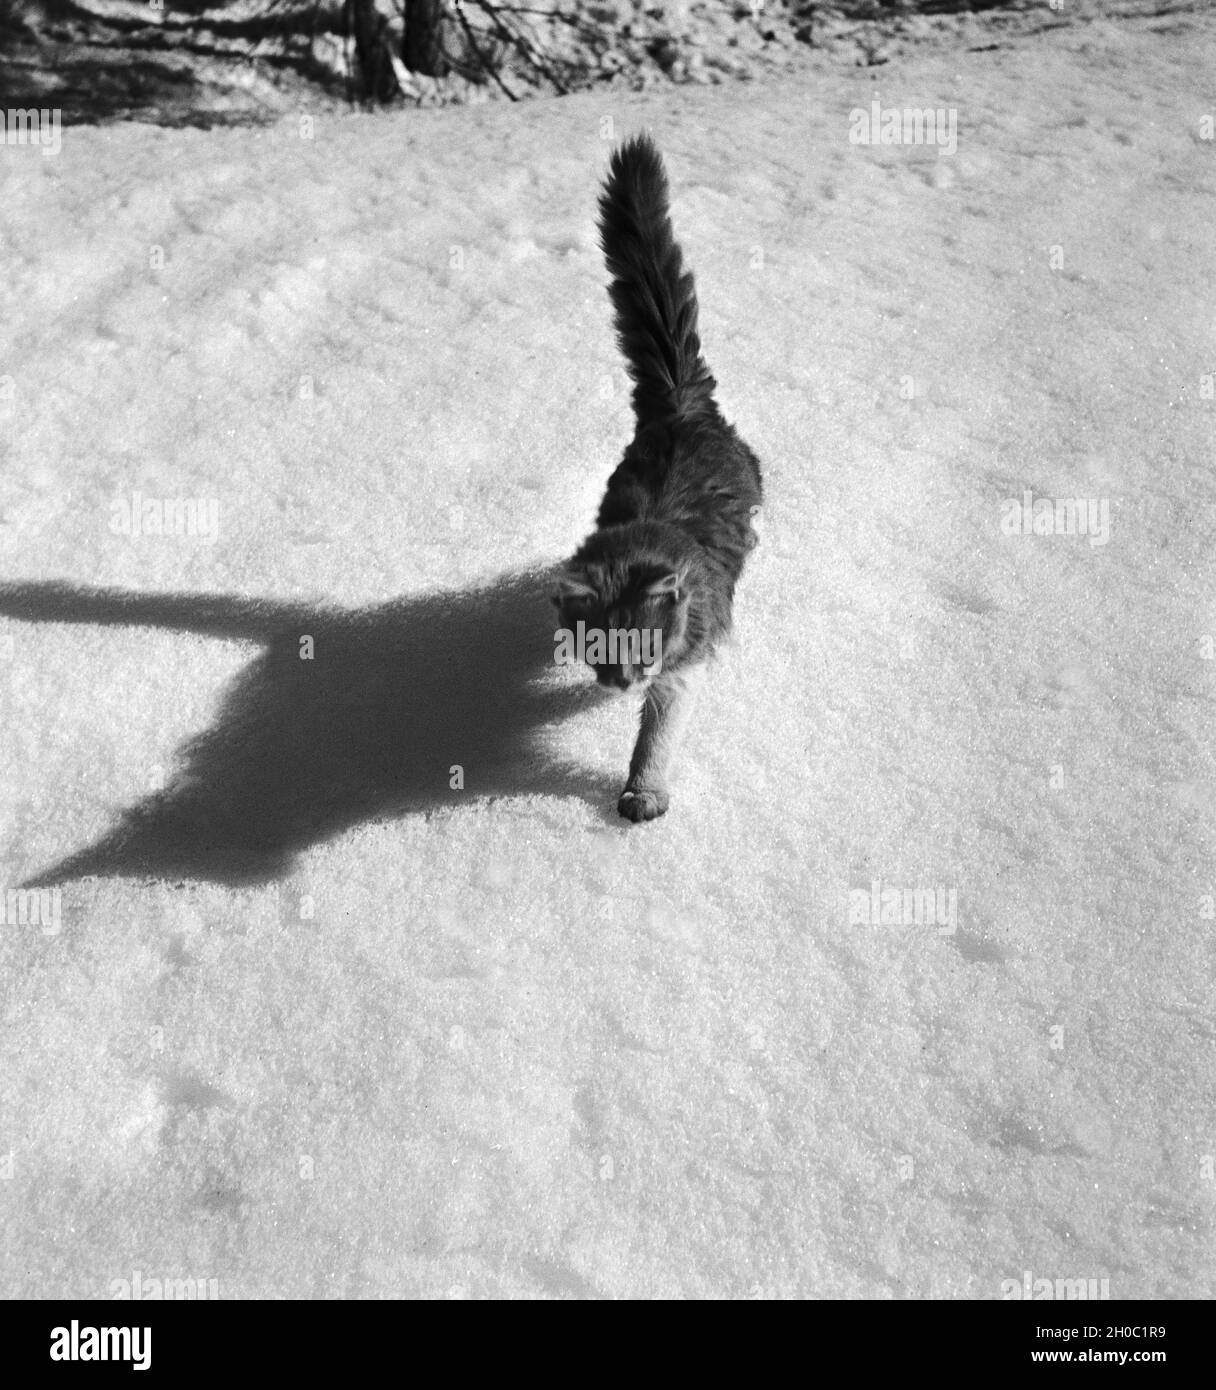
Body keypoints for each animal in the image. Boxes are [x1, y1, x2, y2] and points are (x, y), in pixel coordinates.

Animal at [555, 135, 767, 817]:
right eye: (595, 647)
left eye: (643, 648)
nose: (620, 684)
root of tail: (678, 401)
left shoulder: (680, 665)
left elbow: (656, 737)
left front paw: (642, 795)